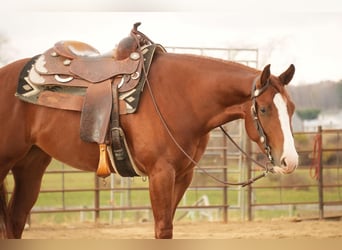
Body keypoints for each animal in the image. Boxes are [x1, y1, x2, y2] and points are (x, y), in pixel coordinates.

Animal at [0, 29, 296, 238]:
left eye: (291, 108)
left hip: (31, 164)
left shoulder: (183, 176)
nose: (290, 161)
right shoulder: (160, 174)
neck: (182, 96)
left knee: (15, 220)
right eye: (265, 109)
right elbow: (163, 229)